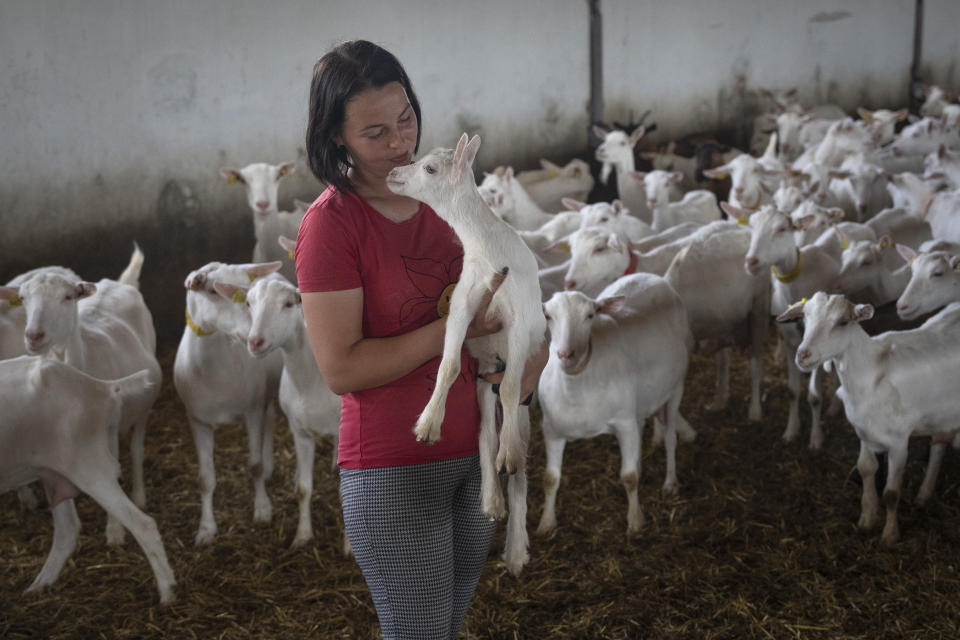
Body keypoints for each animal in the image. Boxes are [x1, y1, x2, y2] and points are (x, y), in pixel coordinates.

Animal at [0, 358, 175, 604]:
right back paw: (39, 586)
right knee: (68, 530)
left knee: (143, 524)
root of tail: (104, 387)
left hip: (89, 466)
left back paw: (168, 593)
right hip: (55, 473)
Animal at [172, 260, 284, 544]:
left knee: (270, 421)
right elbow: (205, 479)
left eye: (250, 290)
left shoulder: (252, 410)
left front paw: (262, 509)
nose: (255, 335)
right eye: (212, 291)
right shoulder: (197, 420)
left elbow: (254, 466)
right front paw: (206, 529)